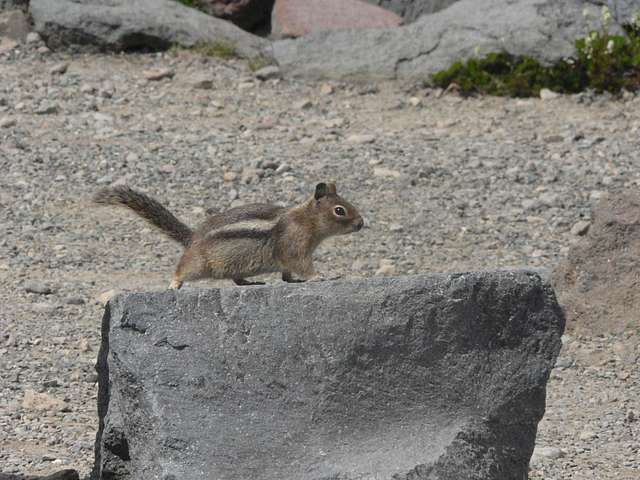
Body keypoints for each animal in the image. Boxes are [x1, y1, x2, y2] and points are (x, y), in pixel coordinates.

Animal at [95, 184, 364, 288]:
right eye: (340, 210)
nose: (362, 224)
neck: (305, 220)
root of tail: (193, 237)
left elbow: (287, 275)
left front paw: (295, 281)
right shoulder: (294, 247)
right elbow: (302, 266)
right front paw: (321, 276)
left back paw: (249, 282)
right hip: (199, 264)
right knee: (182, 269)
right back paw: (174, 284)